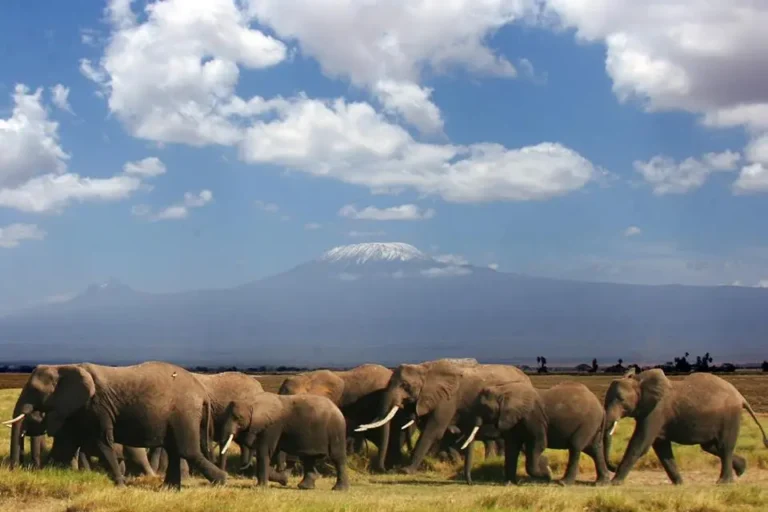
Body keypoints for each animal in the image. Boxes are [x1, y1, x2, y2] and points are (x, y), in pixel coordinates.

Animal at [4, 361, 227, 489]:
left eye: (34, 389)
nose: (14, 470)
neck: (64, 366)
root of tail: (202, 391)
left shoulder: (97, 405)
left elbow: (102, 441)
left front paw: (121, 486)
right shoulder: (80, 410)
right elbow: (65, 446)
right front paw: (47, 476)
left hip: (184, 411)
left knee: (187, 450)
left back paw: (222, 481)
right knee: (175, 450)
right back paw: (169, 489)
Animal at [221, 392, 349, 490]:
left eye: (238, 418)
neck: (252, 401)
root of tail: (337, 408)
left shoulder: (272, 426)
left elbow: (265, 452)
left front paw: (261, 487)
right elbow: (272, 453)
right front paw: (283, 480)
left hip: (335, 430)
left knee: (337, 458)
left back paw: (339, 489)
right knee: (308, 458)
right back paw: (305, 486)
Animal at [356, 359, 531, 474]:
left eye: (405, 385)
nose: (384, 469)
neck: (424, 368)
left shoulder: (447, 399)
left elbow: (433, 430)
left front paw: (406, 470)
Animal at [461, 381, 610, 485]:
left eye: (483, 407)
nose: (471, 483)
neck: (503, 390)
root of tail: (601, 408)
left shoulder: (533, 418)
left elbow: (538, 444)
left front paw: (548, 474)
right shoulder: (514, 420)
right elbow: (512, 448)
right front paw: (509, 484)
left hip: (588, 422)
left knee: (576, 446)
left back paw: (564, 483)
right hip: (593, 425)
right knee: (594, 449)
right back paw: (601, 483)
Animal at [604, 368, 768, 485]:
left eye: (621, 399)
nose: (614, 466)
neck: (639, 381)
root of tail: (741, 397)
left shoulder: (656, 411)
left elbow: (640, 444)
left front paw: (615, 483)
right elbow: (662, 448)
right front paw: (679, 483)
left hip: (730, 416)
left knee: (724, 447)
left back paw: (724, 482)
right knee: (710, 446)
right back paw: (742, 469)